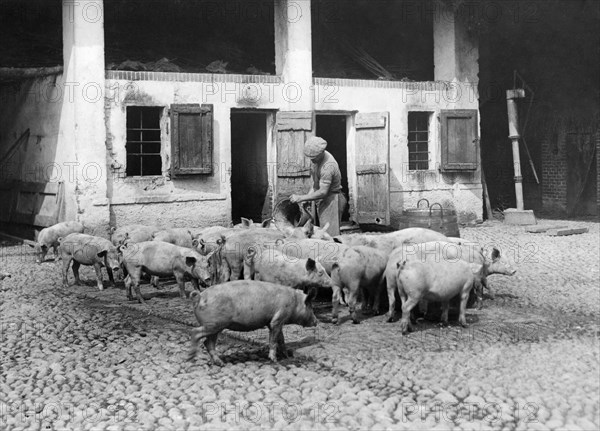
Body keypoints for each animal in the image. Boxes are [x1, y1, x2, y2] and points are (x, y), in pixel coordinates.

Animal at [188, 280, 318, 368]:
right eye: (310, 306)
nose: (316, 321)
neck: (295, 302)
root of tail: (199, 296)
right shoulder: (278, 318)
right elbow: (273, 340)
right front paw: (274, 360)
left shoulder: (276, 322)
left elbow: (281, 339)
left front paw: (286, 355)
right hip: (214, 324)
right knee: (195, 333)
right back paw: (191, 357)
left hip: (215, 326)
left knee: (208, 342)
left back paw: (220, 363)